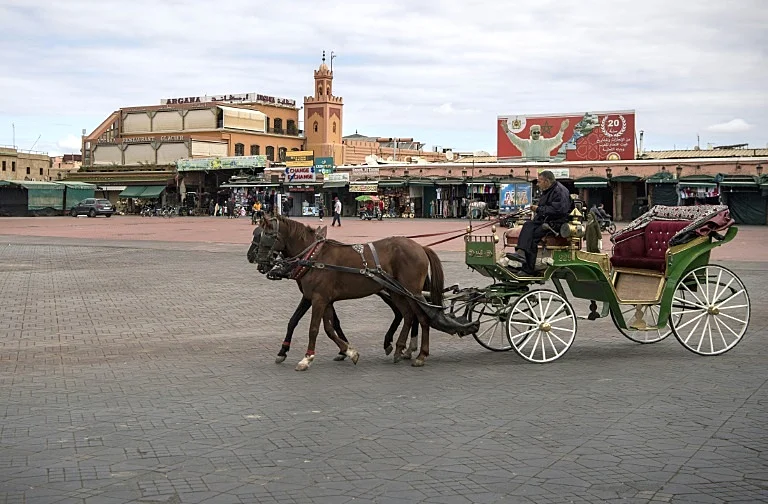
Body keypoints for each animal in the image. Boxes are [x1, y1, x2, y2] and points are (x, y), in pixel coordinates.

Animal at [258, 214, 444, 370]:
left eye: (267, 234)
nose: (260, 263)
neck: (315, 257)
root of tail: (420, 247)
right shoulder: (323, 299)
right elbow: (328, 328)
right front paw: (348, 351)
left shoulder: (319, 299)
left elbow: (314, 328)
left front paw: (307, 358)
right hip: (398, 292)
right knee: (408, 316)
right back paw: (400, 349)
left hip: (412, 292)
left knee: (422, 318)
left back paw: (421, 355)